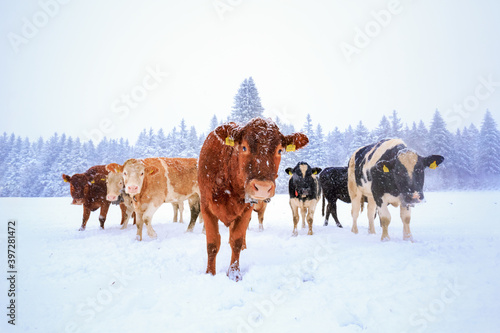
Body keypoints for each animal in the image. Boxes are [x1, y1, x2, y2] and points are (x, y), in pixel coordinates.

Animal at [197, 117, 306, 280]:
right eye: (244, 147)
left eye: (280, 150)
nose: (262, 187)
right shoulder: (206, 207)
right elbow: (212, 244)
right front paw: (210, 273)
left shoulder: (246, 208)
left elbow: (235, 241)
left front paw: (234, 274)